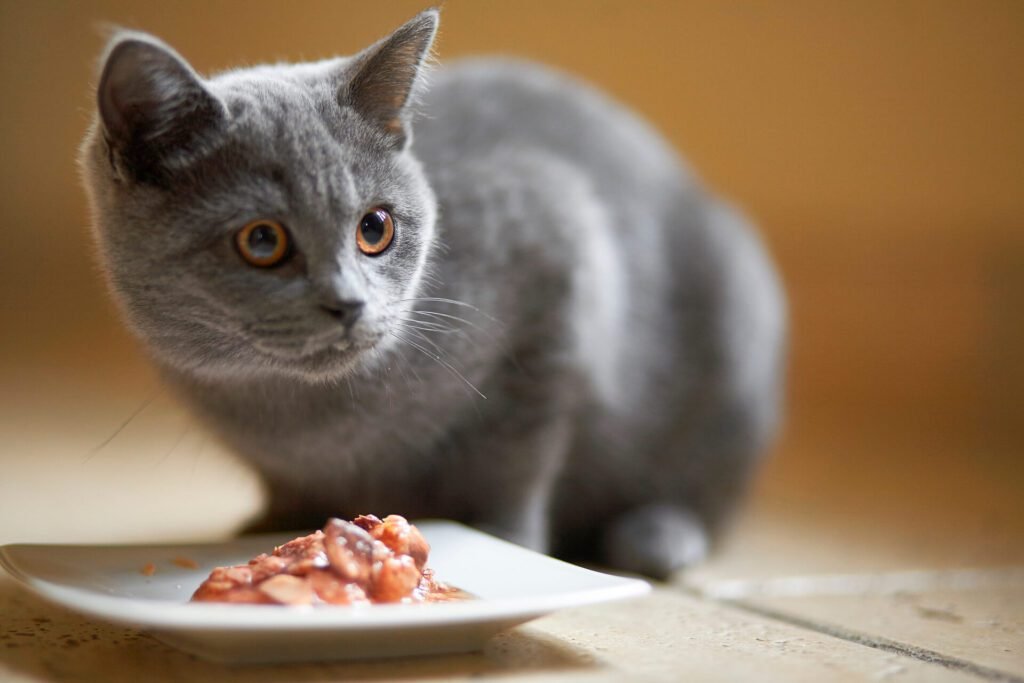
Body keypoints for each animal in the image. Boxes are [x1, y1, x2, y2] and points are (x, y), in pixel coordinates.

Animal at [81, 7, 782, 581]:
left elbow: (513, 460)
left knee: (704, 487)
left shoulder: (558, 269)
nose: (349, 303)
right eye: (262, 240)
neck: (311, 418)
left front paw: (504, 541)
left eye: (375, 228)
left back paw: (657, 535)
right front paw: (276, 525)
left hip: (738, 335)